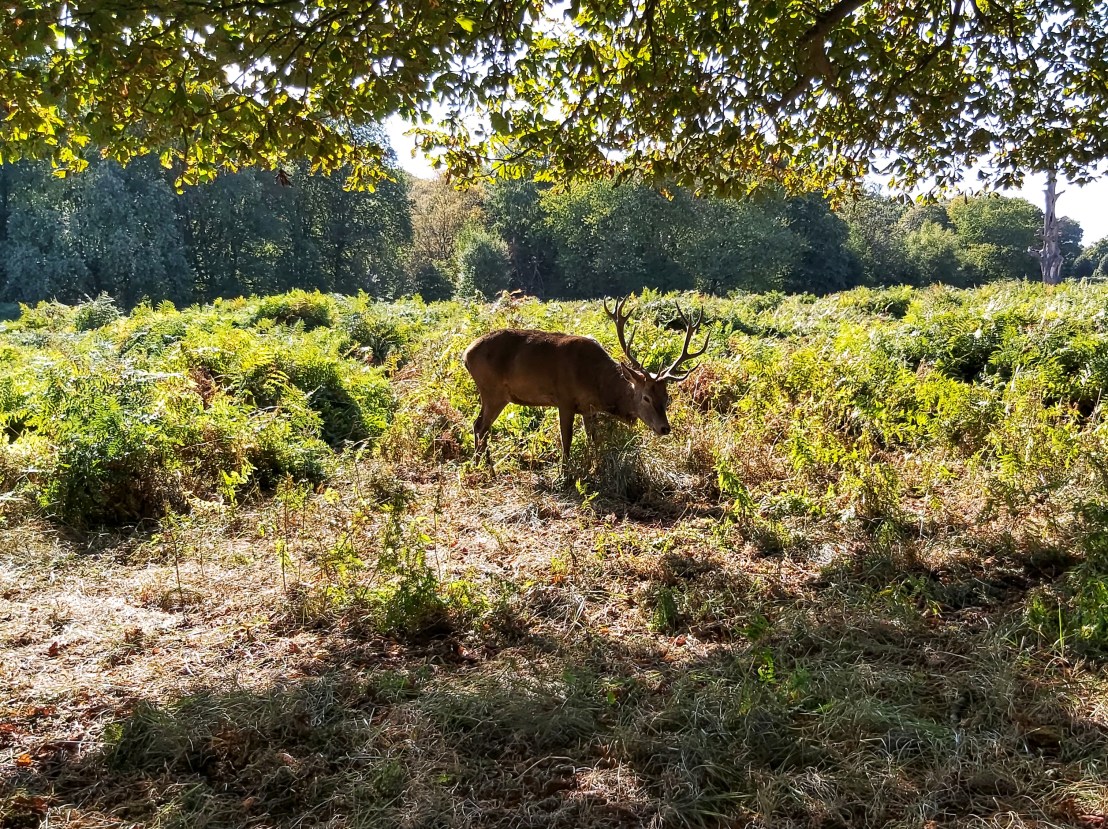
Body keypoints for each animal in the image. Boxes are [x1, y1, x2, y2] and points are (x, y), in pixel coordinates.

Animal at [463, 296, 708, 469]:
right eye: (646, 397)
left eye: (666, 397)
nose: (665, 428)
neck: (597, 384)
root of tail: (466, 354)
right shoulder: (564, 399)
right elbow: (567, 441)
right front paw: (565, 474)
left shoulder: (588, 409)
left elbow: (594, 441)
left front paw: (594, 468)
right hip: (492, 390)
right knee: (480, 426)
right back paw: (483, 469)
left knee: (480, 427)